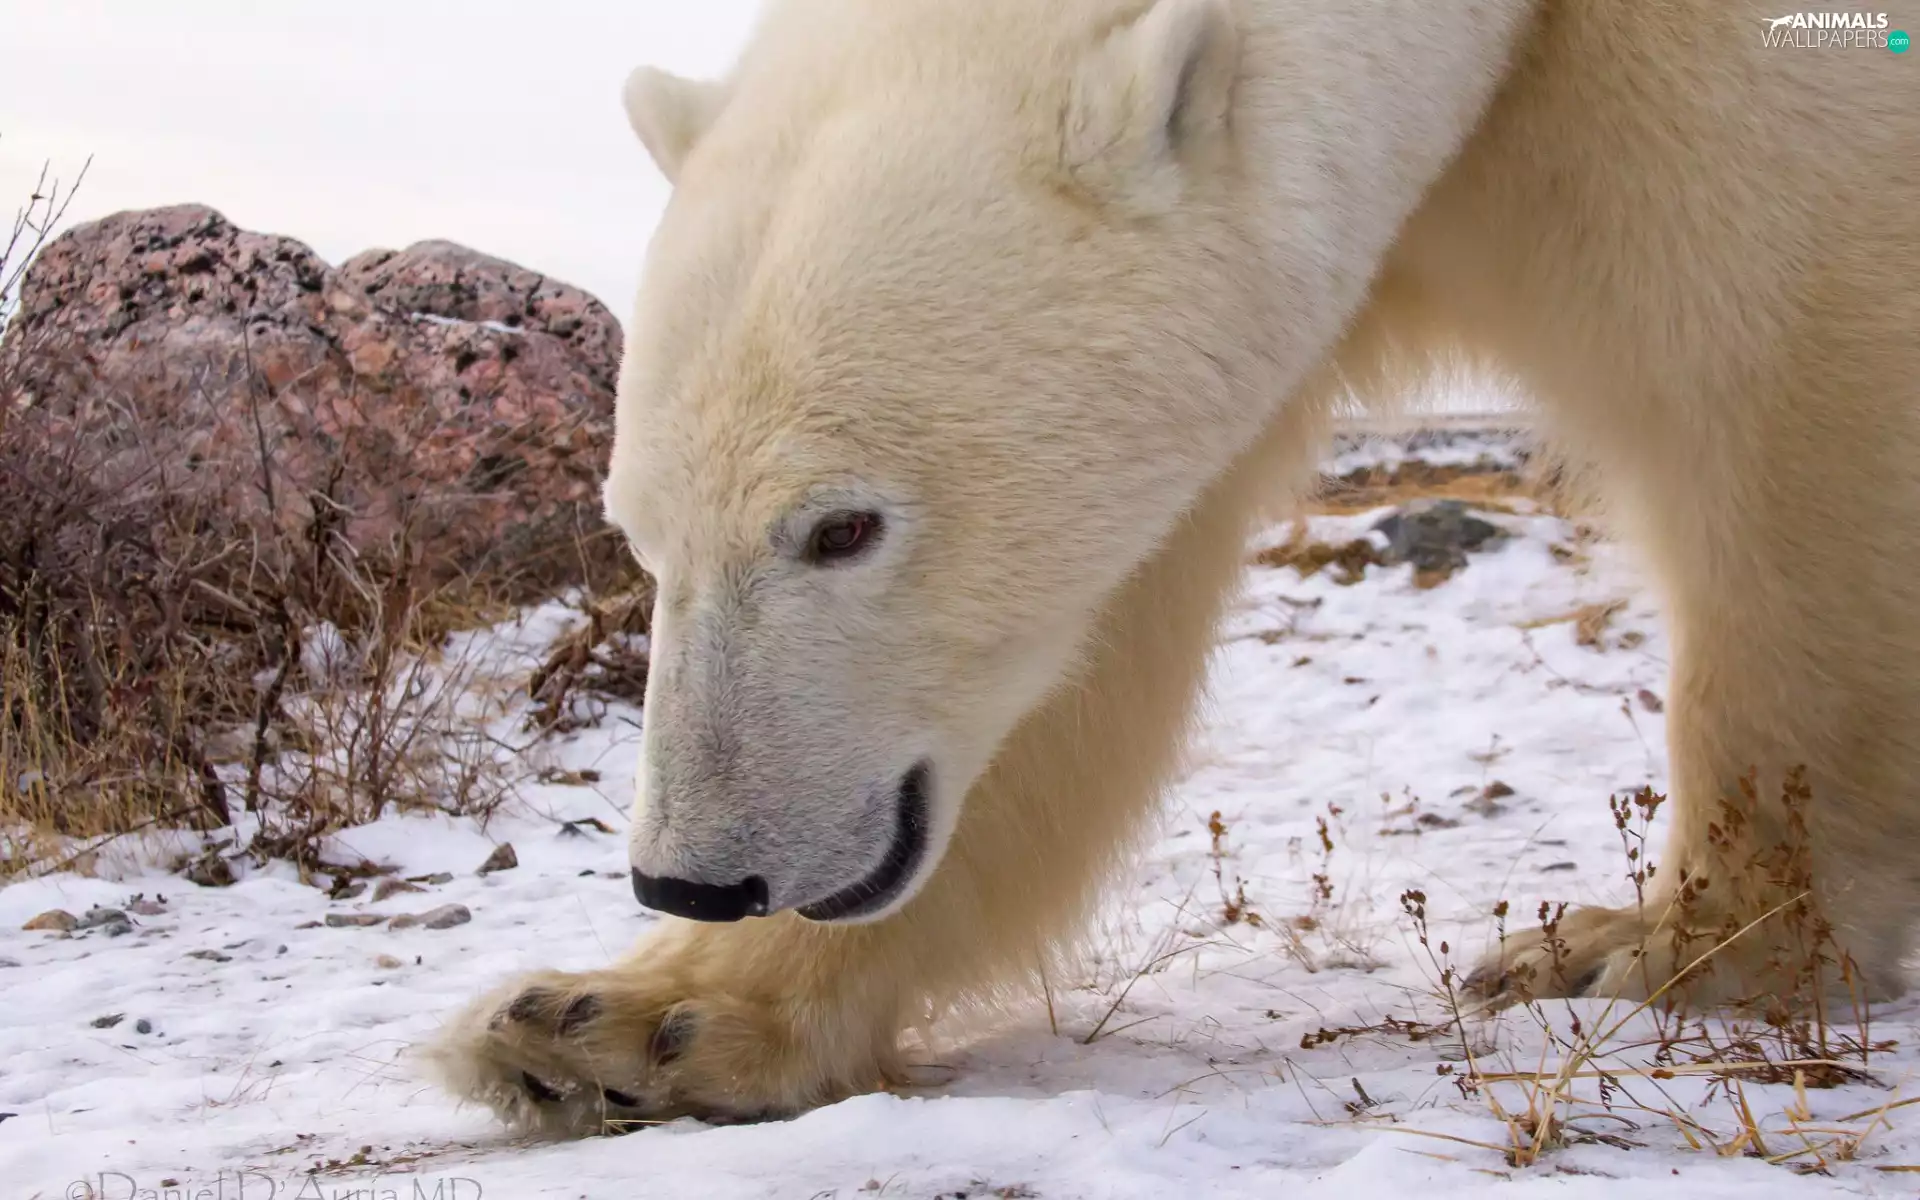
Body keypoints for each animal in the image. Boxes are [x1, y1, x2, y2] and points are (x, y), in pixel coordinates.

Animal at [426, 0, 1920, 1137]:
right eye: (639, 534)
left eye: (840, 527)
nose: (696, 880)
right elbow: (1081, 650)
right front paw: (615, 1024)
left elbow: (1793, 406)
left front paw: (1664, 947)